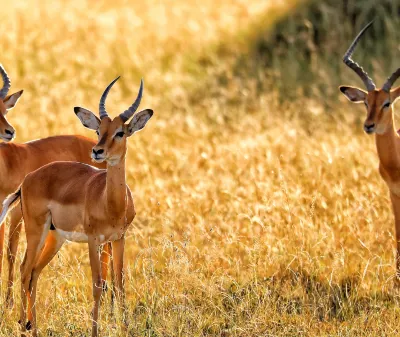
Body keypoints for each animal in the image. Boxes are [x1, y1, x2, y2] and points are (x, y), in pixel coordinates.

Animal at [0, 77, 153, 336]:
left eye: (120, 132)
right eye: (99, 130)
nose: (98, 151)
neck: (109, 202)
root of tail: (28, 179)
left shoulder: (119, 238)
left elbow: (120, 282)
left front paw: (124, 327)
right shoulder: (93, 240)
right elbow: (97, 283)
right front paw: (95, 331)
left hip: (56, 237)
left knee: (34, 272)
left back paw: (33, 326)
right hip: (36, 231)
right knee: (24, 268)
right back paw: (23, 325)